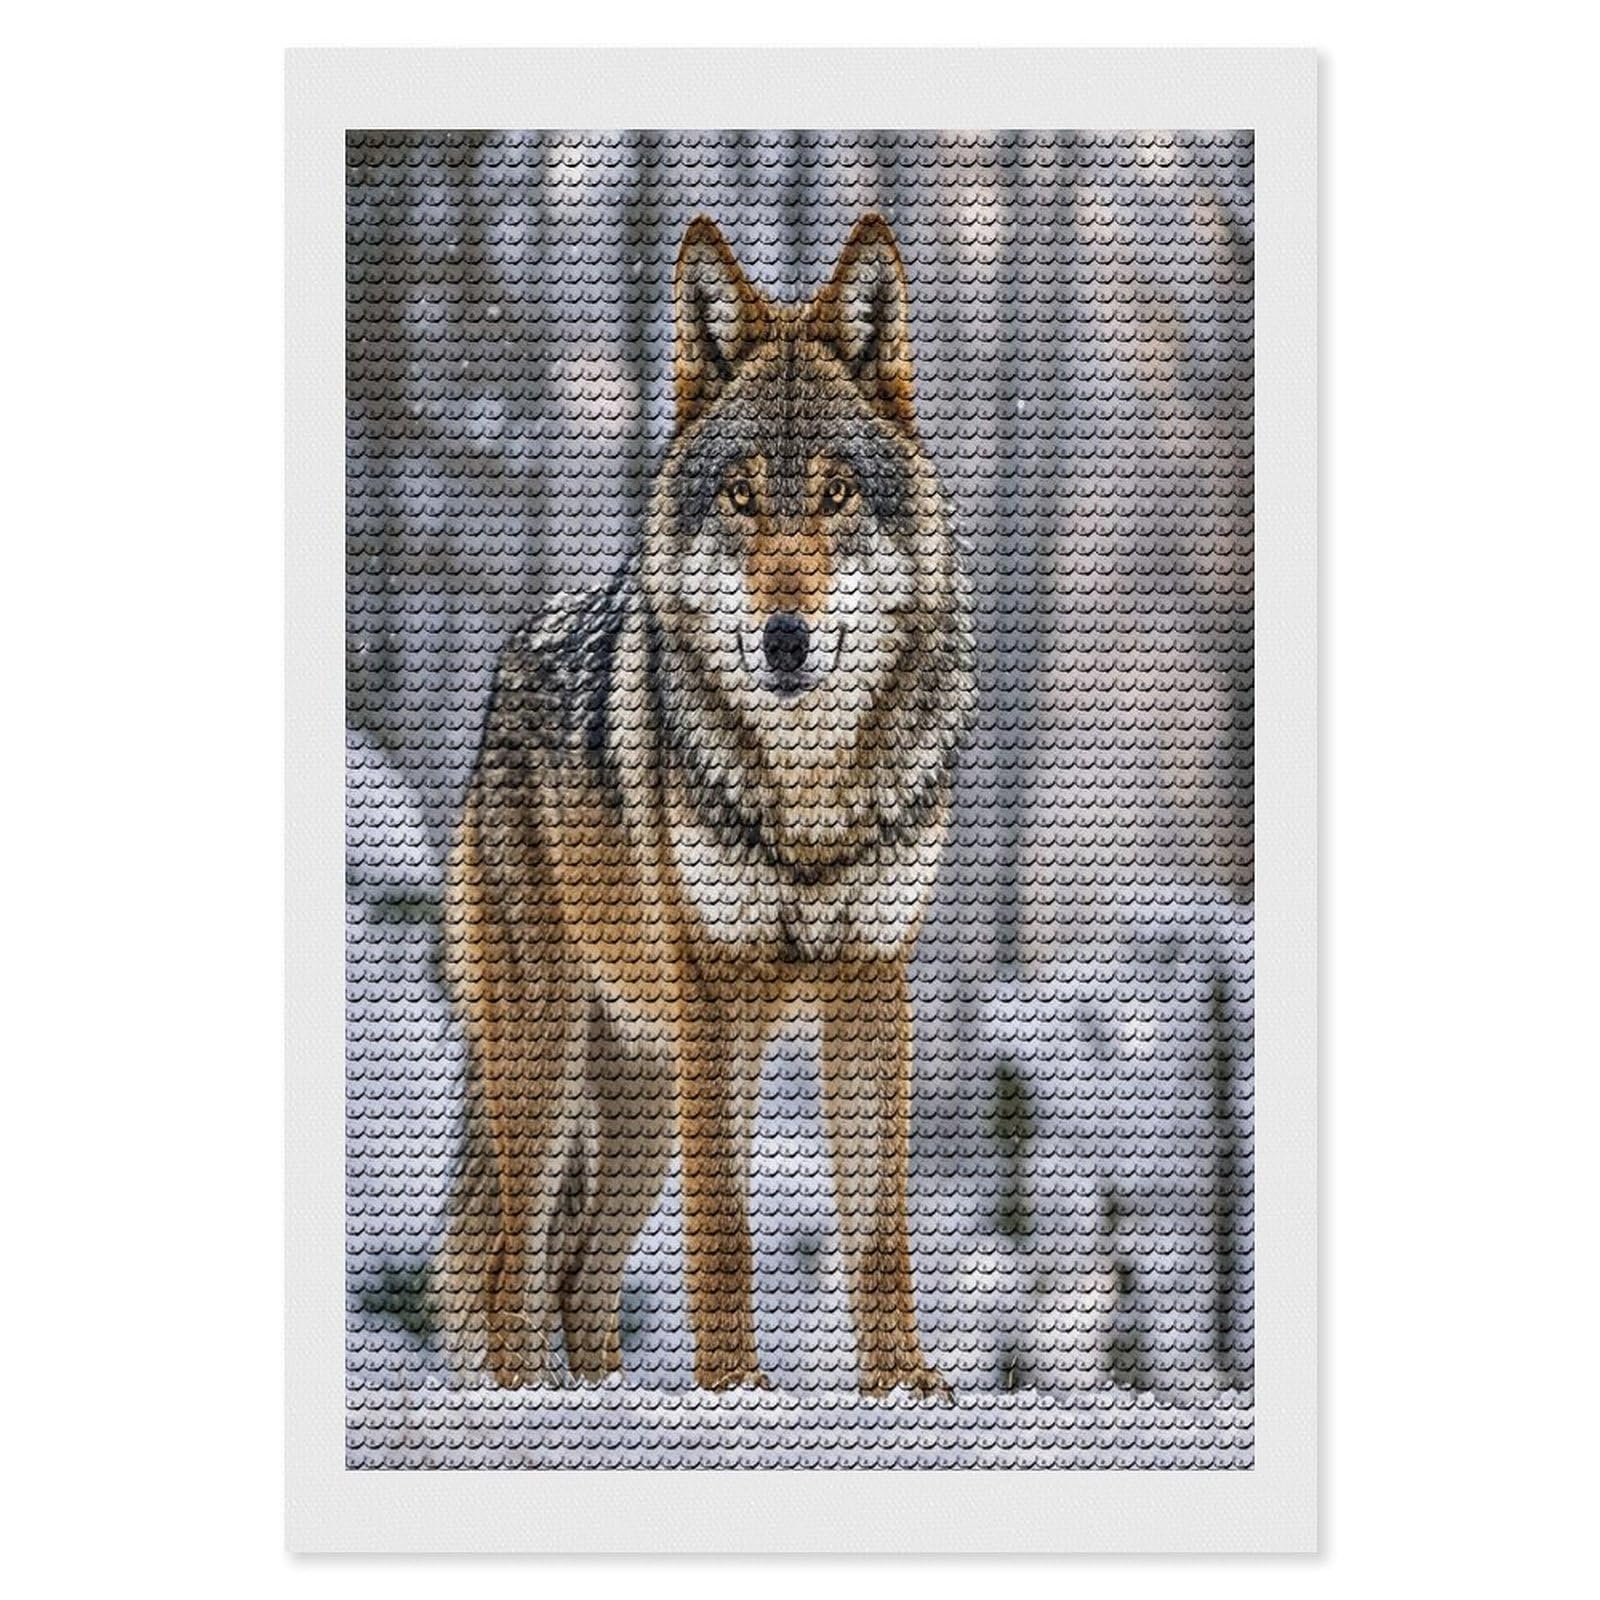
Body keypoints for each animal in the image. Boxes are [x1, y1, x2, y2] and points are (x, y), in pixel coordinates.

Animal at [430, 213, 976, 1395]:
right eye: (739, 495)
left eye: (834, 495)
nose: (785, 639)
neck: (809, 792)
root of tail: (505, 664)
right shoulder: (716, 992)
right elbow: (725, 1222)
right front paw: (735, 1394)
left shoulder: (872, 981)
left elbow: (880, 1227)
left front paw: (901, 1388)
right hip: (556, 1062)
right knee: (510, 1267)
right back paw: (526, 1401)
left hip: (640, 1092)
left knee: (578, 1272)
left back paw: (599, 1397)